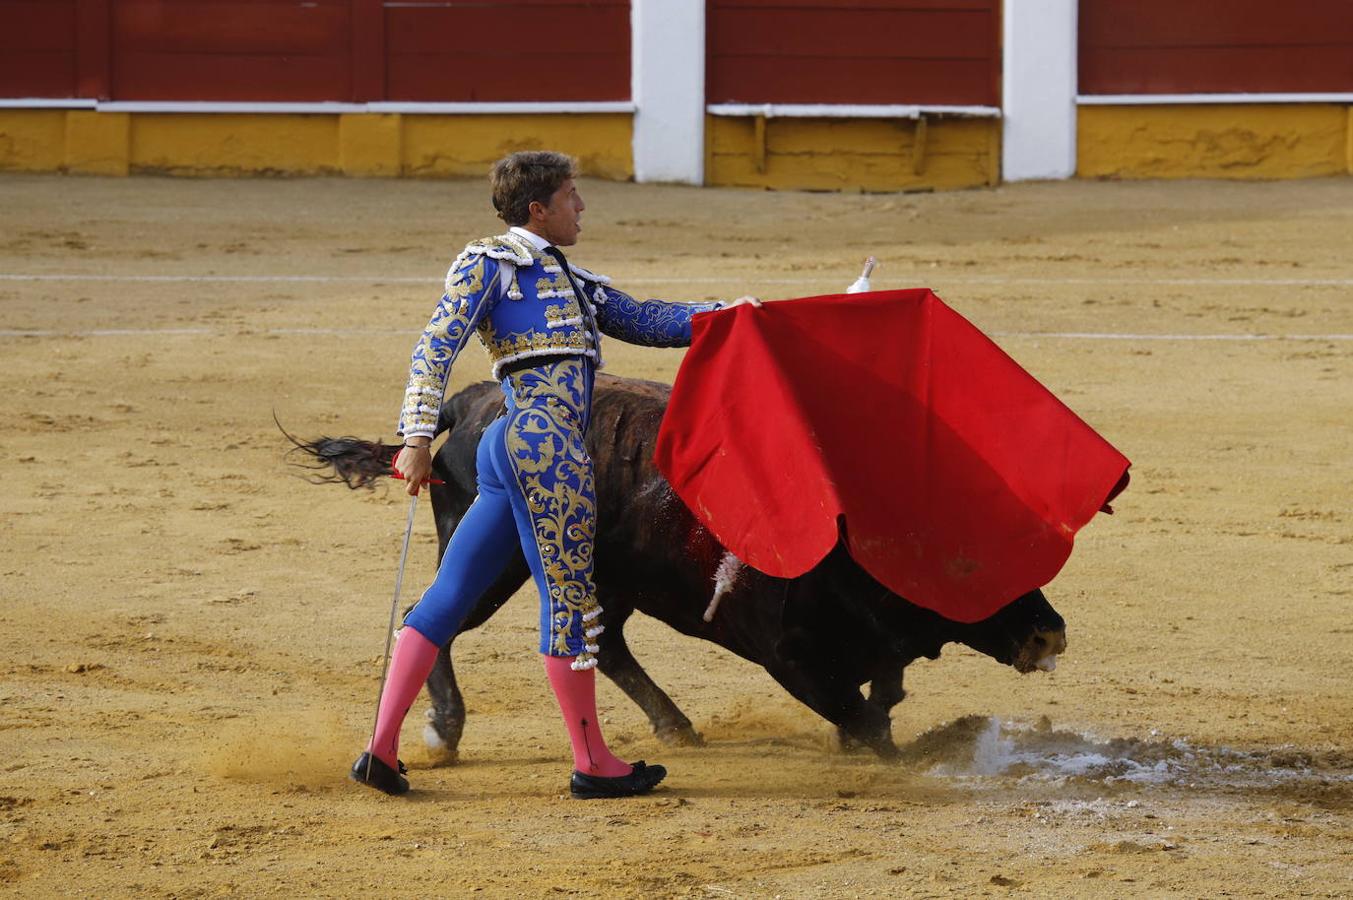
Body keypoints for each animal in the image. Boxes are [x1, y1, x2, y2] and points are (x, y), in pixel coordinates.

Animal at [296, 370, 1066, 757]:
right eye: (976, 566)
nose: (1049, 633)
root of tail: (468, 402)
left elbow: (883, 692)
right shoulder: (787, 654)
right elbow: (867, 718)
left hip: (603, 576)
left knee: (604, 646)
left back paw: (674, 726)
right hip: (492, 558)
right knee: (429, 617)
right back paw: (444, 732)